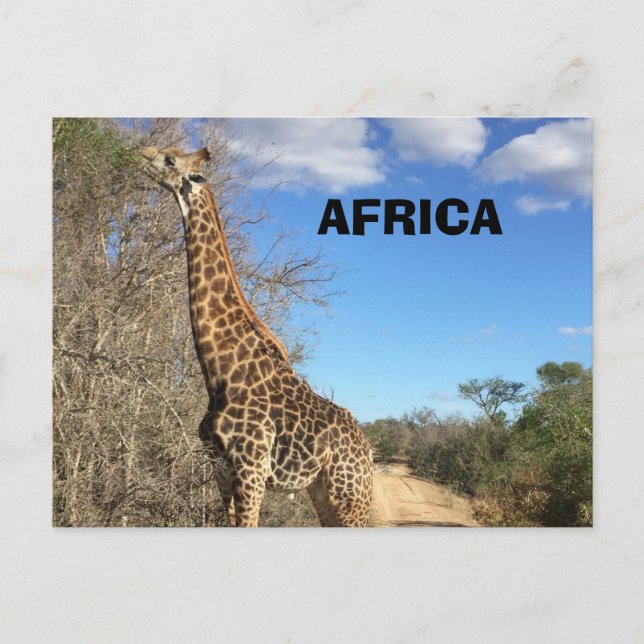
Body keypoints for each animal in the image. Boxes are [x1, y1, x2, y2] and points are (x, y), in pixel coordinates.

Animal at [141, 145, 373, 527]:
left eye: (171, 160)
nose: (142, 154)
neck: (220, 372)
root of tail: (369, 452)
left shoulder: (251, 469)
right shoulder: (220, 468)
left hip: (350, 495)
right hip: (321, 490)